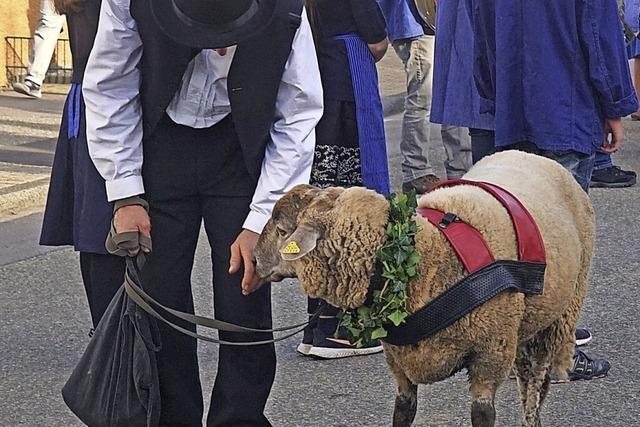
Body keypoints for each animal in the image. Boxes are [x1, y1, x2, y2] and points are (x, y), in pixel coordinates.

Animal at [254, 149, 596, 426]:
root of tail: (531, 154)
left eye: (282, 230)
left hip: (556, 318)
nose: (254, 260)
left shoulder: (490, 355)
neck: (424, 254)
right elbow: (403, 410)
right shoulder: (400, 361)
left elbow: (482, 414)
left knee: (535, 387)